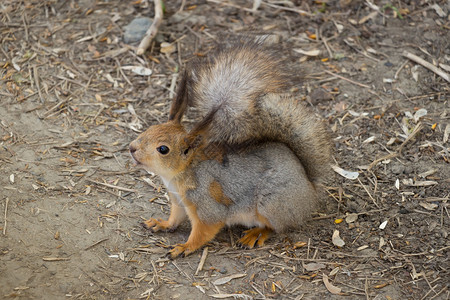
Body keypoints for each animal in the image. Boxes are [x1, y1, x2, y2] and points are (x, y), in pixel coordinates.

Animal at [128, 38, 332, 258]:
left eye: (163, 149)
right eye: (149, 129)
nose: (131, 148)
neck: (181, 174)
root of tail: (309, 185)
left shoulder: (208, 205)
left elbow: (203, 231)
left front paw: (185, 247)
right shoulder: (178, 202)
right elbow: (175, 218)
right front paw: (162, 224)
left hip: (272, 204)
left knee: (276, 227)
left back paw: (256, 234)